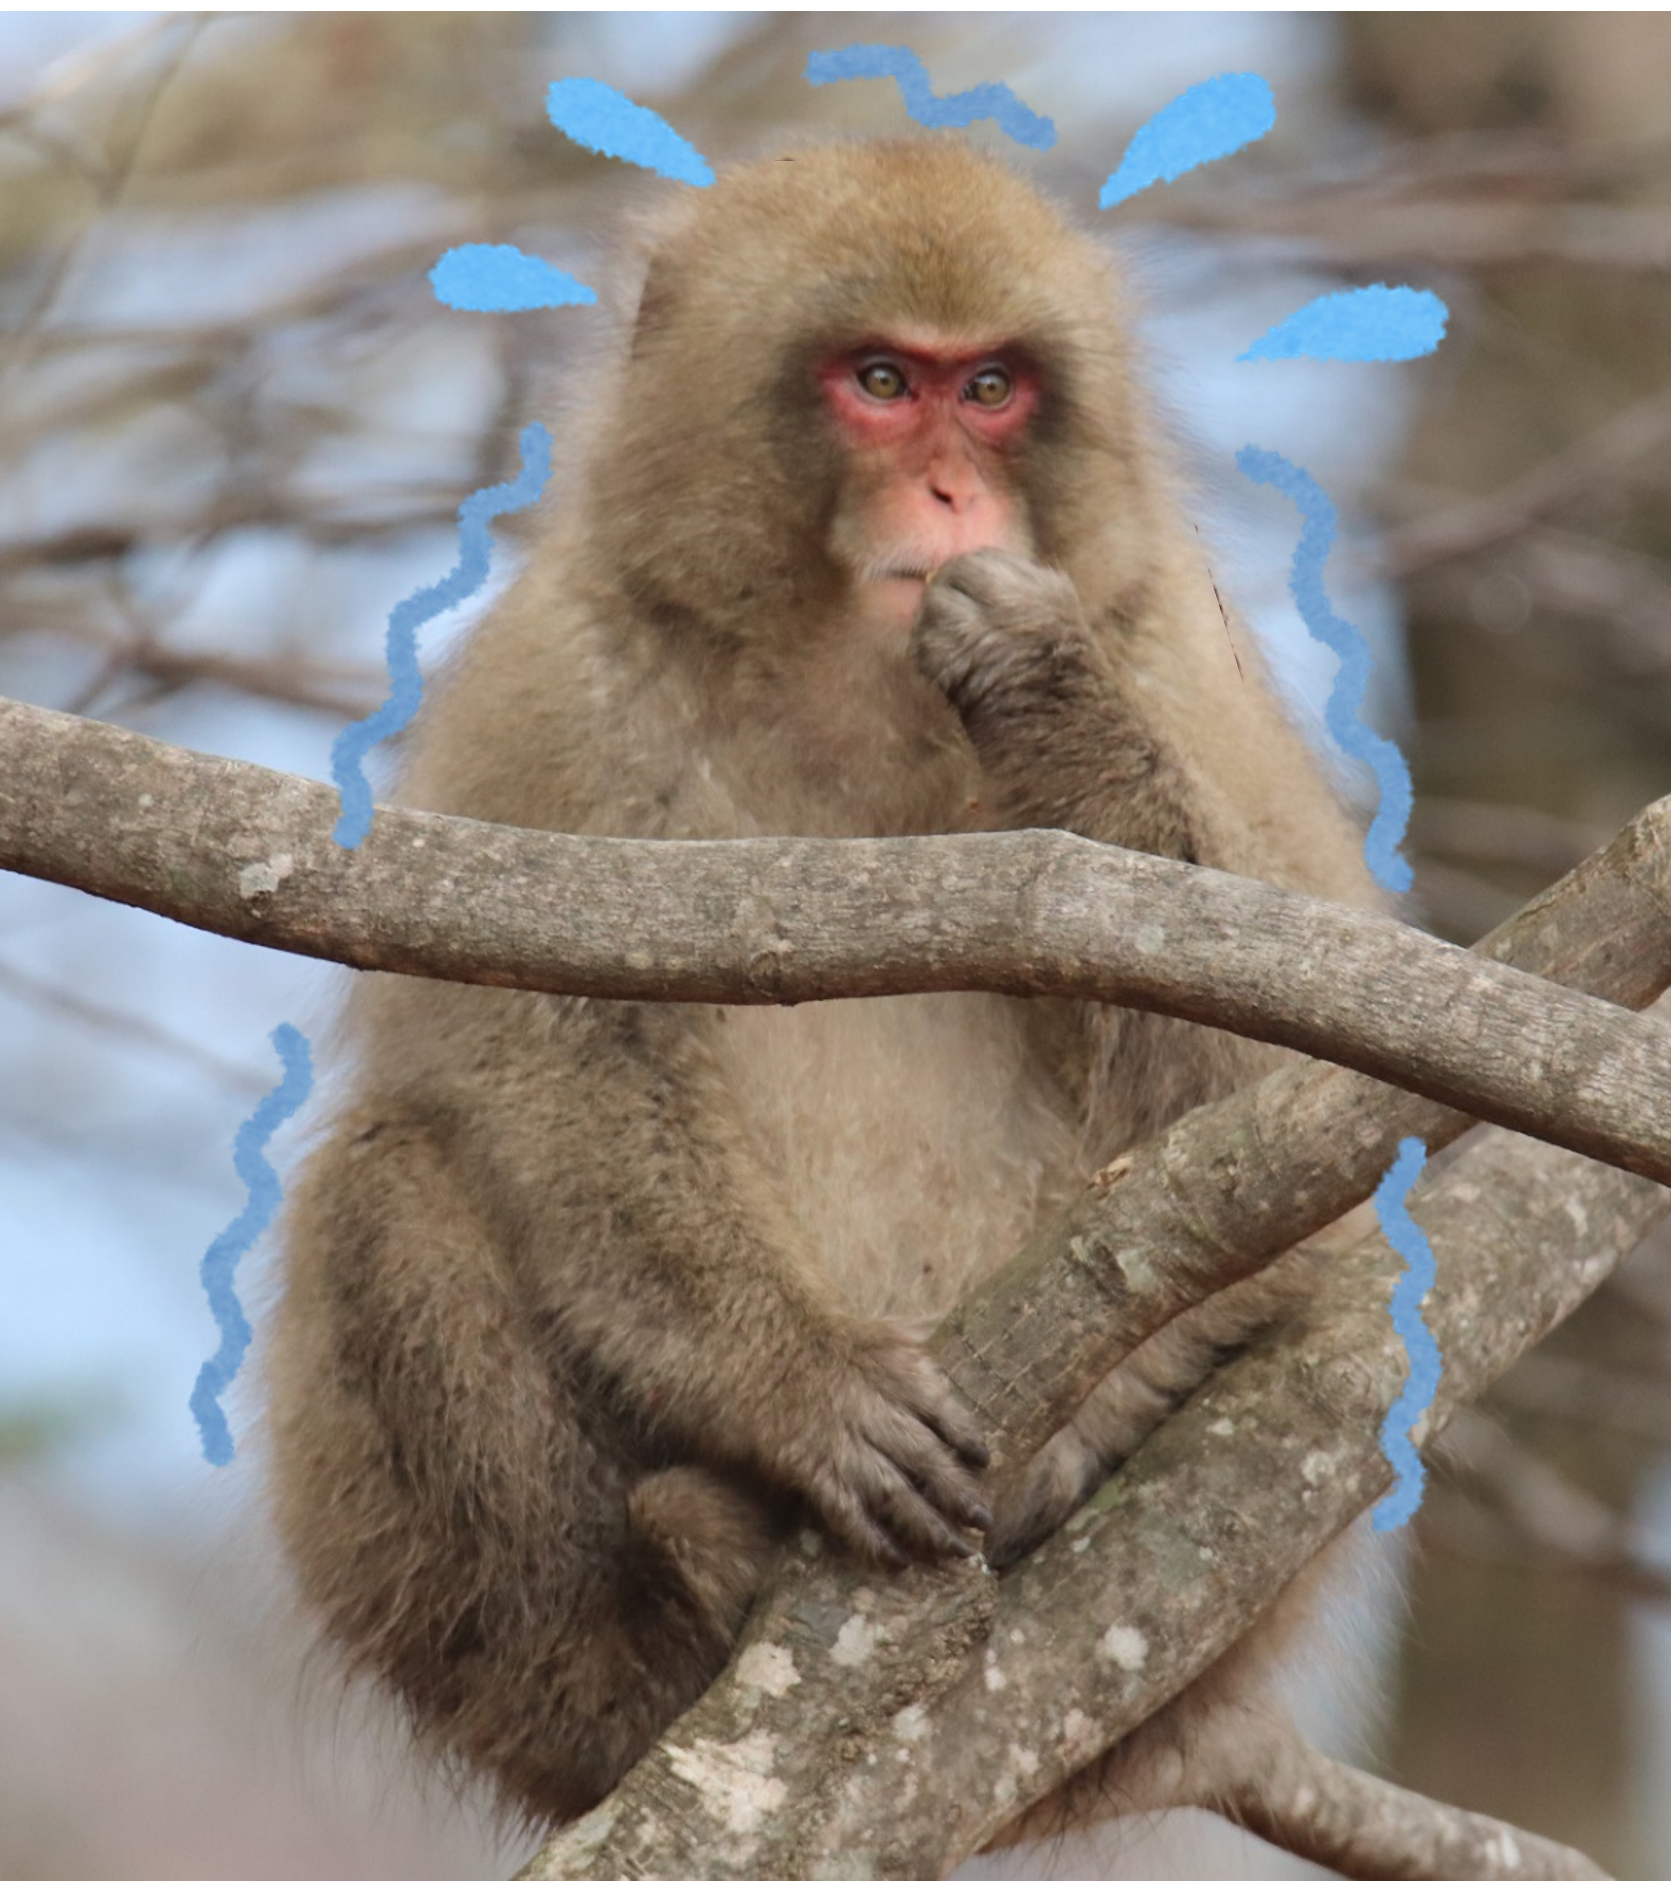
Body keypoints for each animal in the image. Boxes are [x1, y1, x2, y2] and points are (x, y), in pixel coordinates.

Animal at [264, 136, 1379, 1835]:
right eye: (878, 381)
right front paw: (797, 1382)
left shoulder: (1169, 649)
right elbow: (542, 1050)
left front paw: (1043, 693)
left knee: (1340, 1342)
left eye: (988, 386)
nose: (951, 489)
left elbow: (1291, 1120)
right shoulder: (565, 669)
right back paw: (665, 1611)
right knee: (393, 1179)